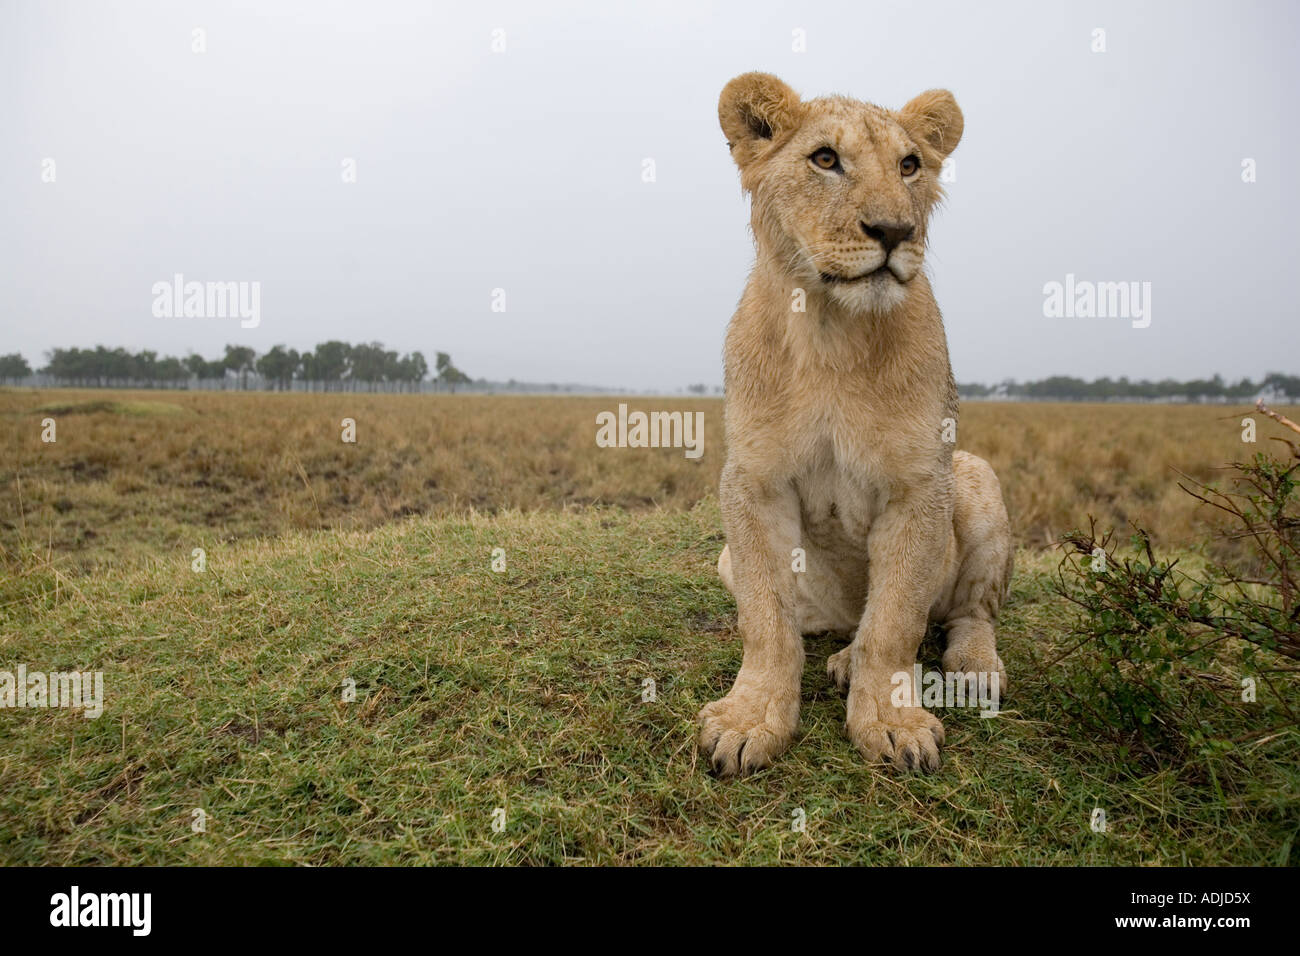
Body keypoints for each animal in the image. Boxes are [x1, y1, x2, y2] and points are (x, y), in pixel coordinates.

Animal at [700, 73, 1015, 776]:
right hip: (730, 562)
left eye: (910, 166)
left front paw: (891, 723)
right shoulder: (753, 480)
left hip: (977, 479)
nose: (895, 230)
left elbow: (895, 622)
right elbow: (765, 622)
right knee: (837, 623)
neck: (829, 330)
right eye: (825, 159)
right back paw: (837, 650)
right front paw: (750, 718)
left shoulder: (922, 483)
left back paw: (971, 668)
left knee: (964, 614)